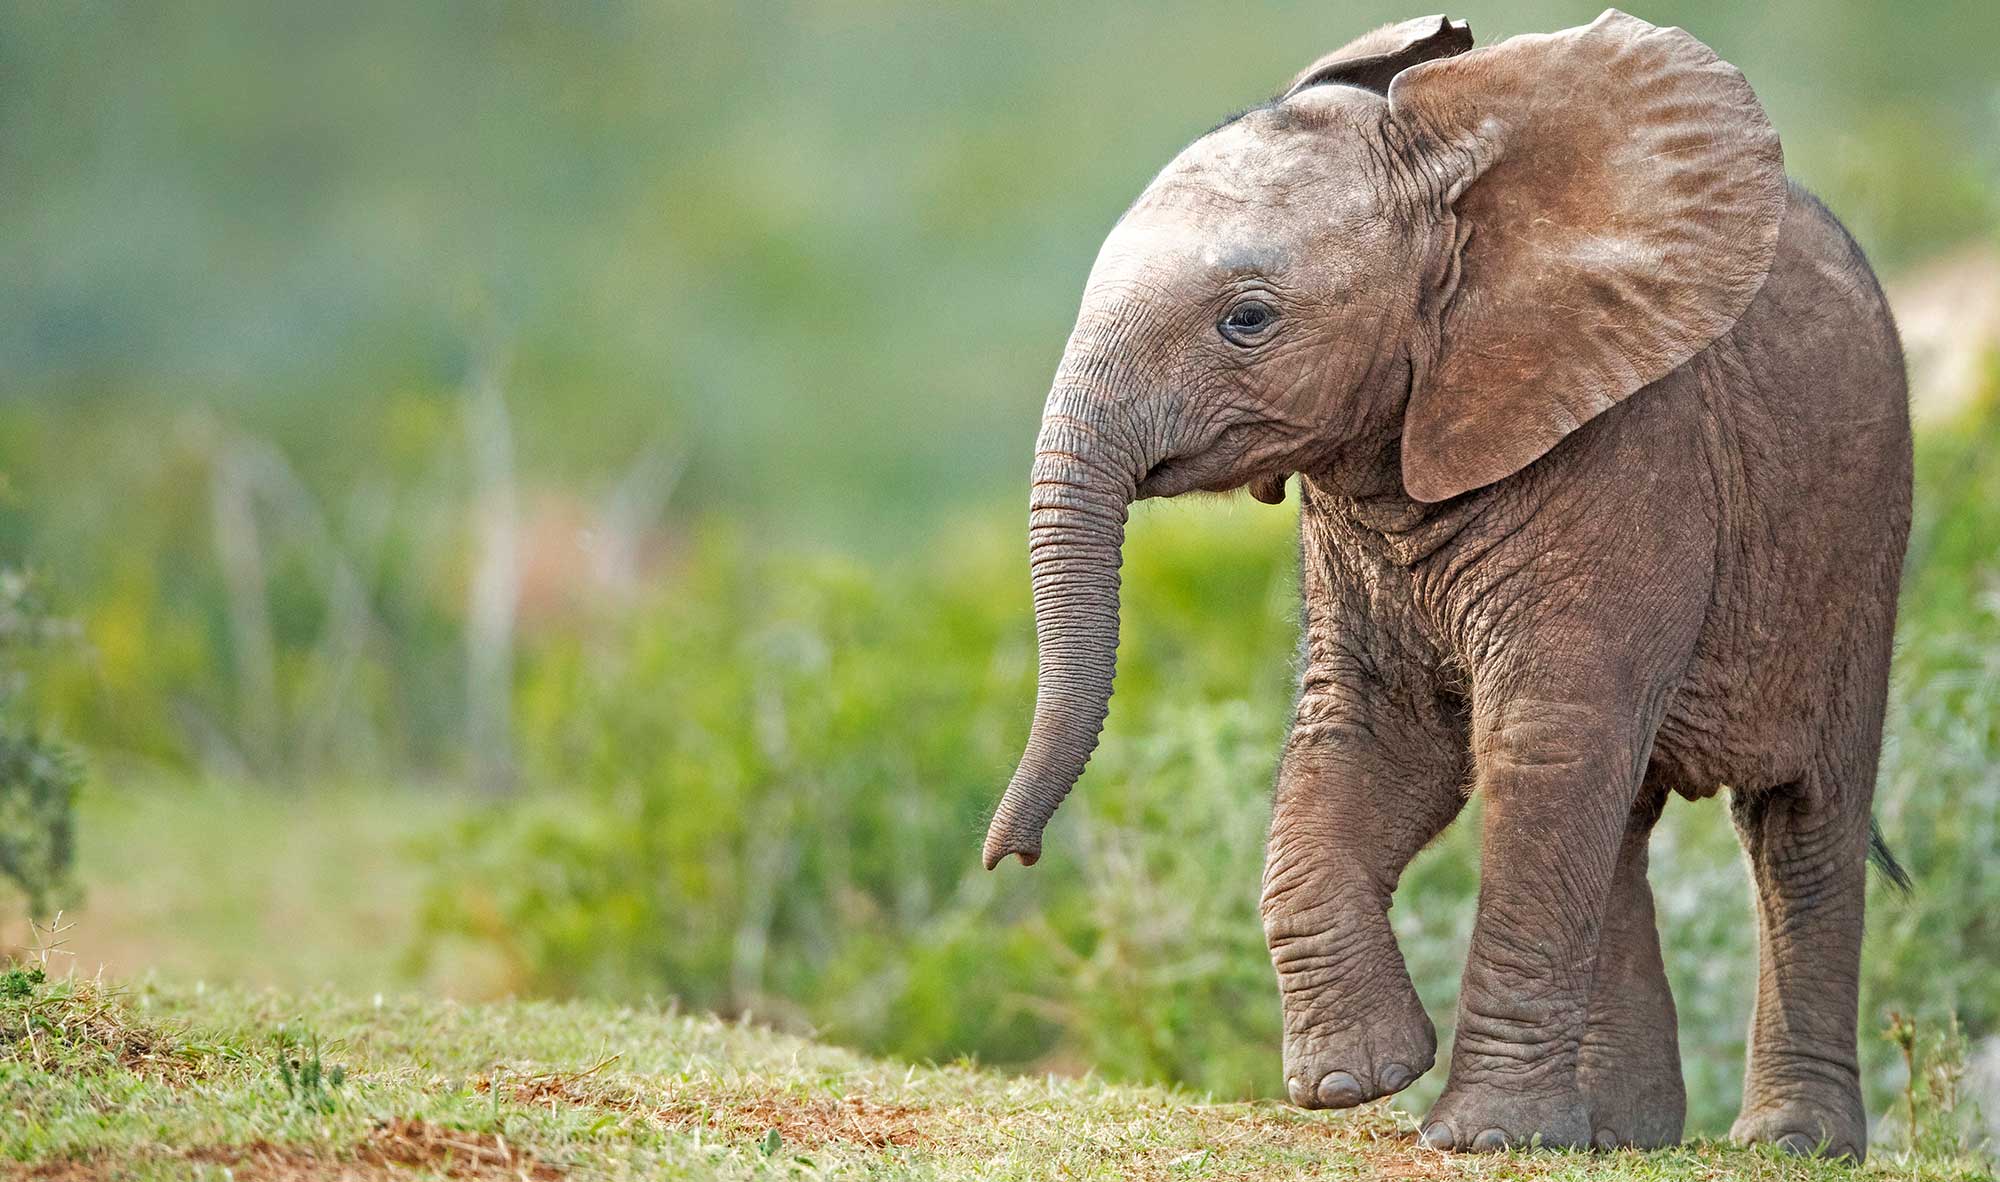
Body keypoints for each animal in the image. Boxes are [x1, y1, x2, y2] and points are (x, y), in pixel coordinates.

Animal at [980, 9, 1904, 1168]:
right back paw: (1621, 1138)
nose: (1007, 859)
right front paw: (1354, 1082)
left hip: (1857, 547)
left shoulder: (1627, 444)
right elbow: (1376, 737)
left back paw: (1787, 1145)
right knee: (1624, 815)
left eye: (1247, 320)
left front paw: (1479, 1136)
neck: (1452, 194)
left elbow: (1542, 740)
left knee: (1798, 825)